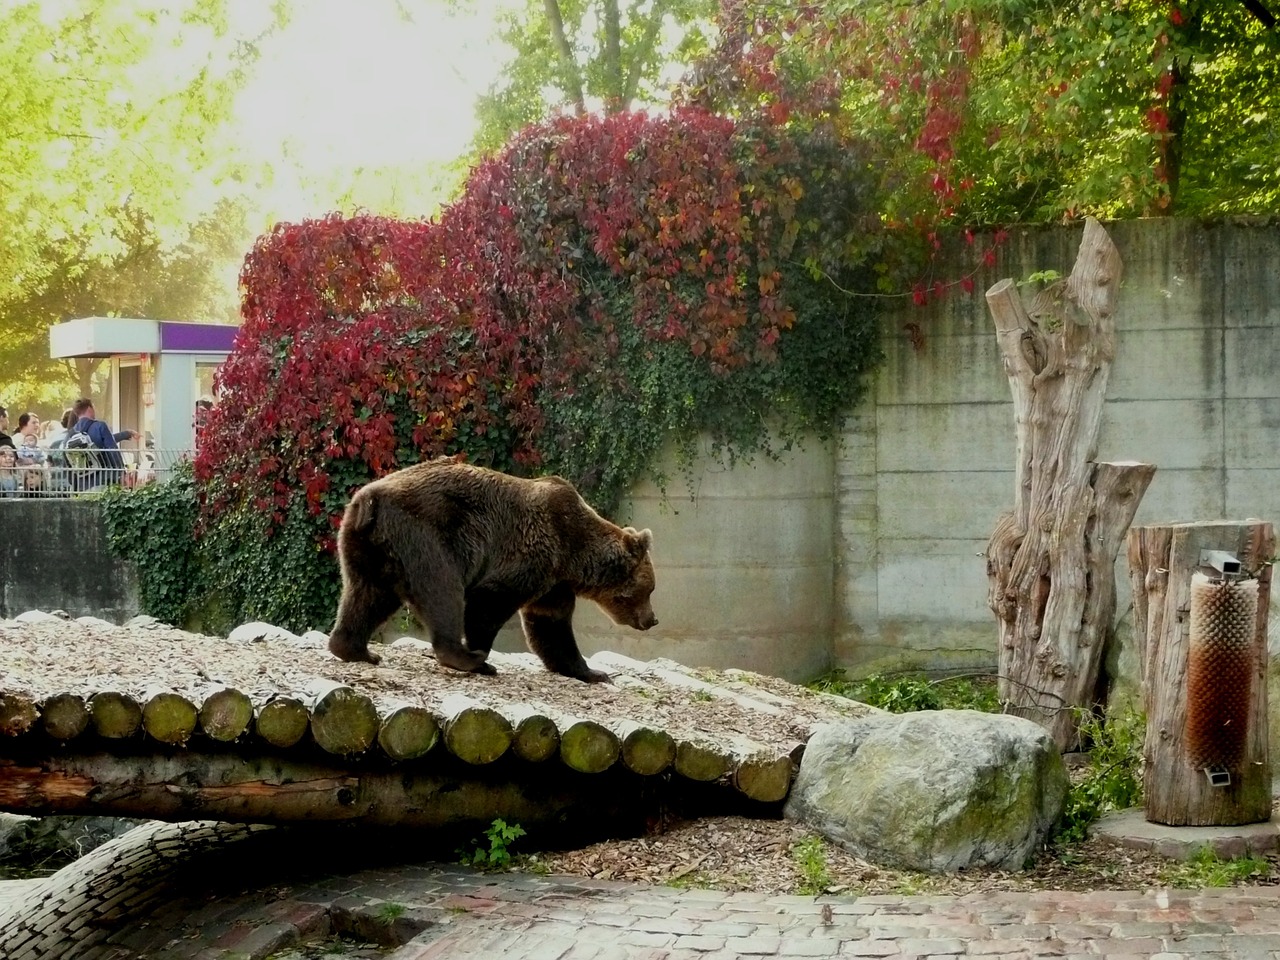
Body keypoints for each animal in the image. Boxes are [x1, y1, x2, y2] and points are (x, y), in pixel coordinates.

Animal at [327, 460, 660, 680]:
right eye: (650, 589)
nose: (652, 619)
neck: (573, 555)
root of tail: (369, 501)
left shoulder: (554, 584)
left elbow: (552, 627)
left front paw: (593, 671)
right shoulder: (533, 554)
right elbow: (488, 602)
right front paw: (482, 654)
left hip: (368, 546)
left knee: (367, 596)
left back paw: (356, 649)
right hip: (426, 535)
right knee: (442, 591)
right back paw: (466, 658)